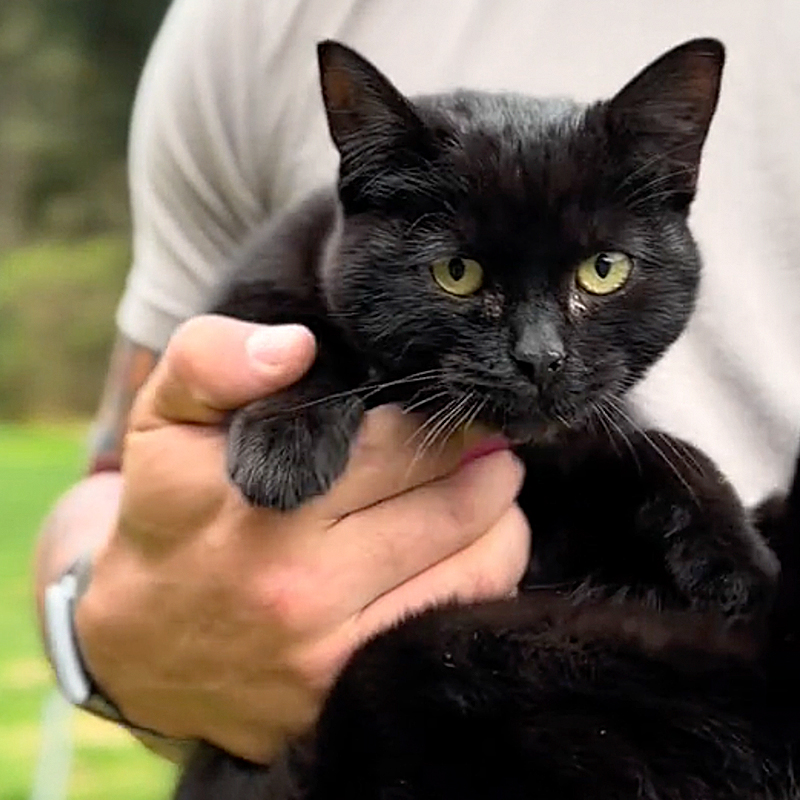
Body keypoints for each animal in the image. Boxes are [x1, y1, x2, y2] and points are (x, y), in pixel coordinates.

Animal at [173, 39, 792, 800]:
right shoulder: (258, 290)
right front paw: (284, 446)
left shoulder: (576, 447)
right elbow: (295, 330)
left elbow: (655, 446)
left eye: (604, 270)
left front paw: (737, 560)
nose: (540, 358)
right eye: (457, 272)